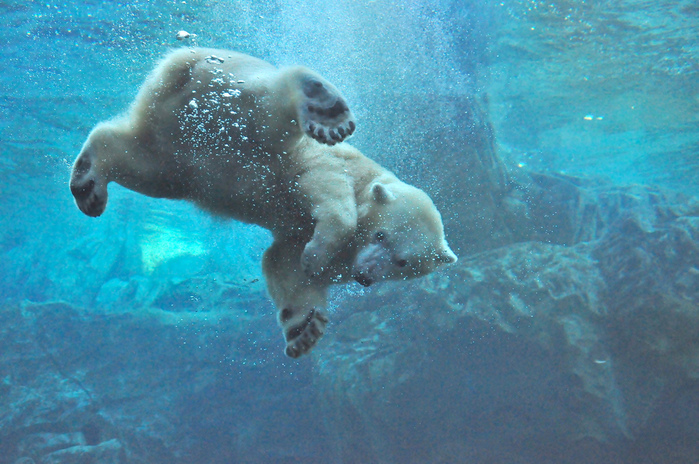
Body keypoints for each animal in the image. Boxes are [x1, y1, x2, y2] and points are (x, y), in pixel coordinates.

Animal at [71, 47, 460, 358]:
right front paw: (316, 255)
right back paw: (323, 102)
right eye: (381, 236)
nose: (364, 276)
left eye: (403, 261)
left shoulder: (314, 247)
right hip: (226, 97)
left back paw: (88, 182)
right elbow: (324, 188)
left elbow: (282, 264)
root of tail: (181, 61)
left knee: (143, 162)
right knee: (269, 103)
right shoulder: (335, 167)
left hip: (179, 148)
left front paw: (304, 329)